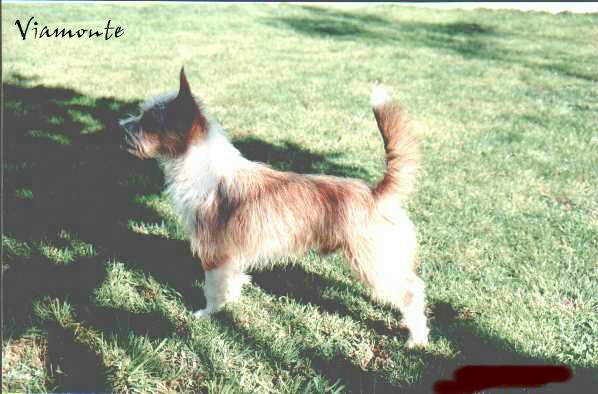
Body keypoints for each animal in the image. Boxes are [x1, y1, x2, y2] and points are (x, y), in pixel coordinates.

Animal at [120, 69, 432, 346]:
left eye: (150, 121)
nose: (119, 126)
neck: (202, 167)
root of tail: (376, 193)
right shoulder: (231, 256)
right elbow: (231, 281)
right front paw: (230, 301)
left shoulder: (213, 253)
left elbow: (212, 288)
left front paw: (207, 314)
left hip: (374, 264)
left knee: (412, 291)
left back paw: (416, 338)